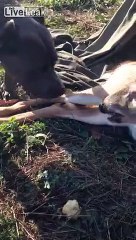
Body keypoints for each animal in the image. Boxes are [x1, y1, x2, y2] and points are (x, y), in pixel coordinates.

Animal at [0, 61, 135, 140]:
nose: (103, 106)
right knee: (64, 96)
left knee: (59, 104)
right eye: (130, 93)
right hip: (100, 93)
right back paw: (6, 110)